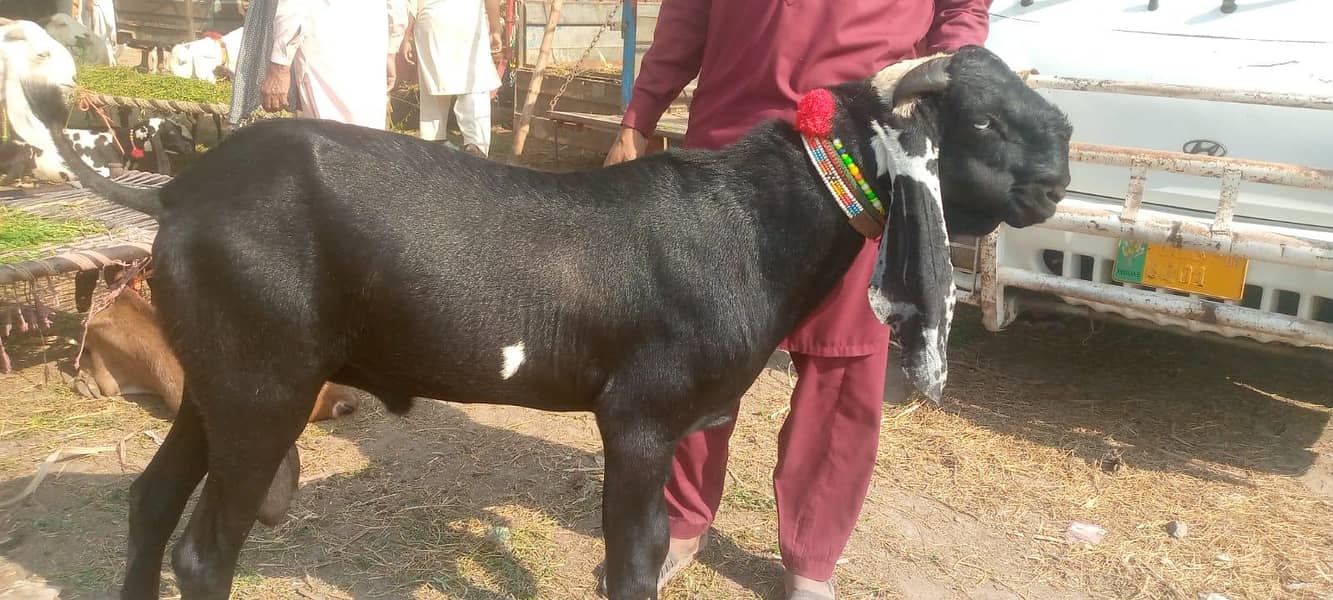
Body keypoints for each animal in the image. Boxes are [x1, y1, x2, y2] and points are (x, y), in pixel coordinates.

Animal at [25, 44, 1072, 599]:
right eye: (981, 121)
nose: (1060, 169)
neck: (747, 227)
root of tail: (176, 191)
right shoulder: (640, 420)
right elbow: (632, 563)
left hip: (215, 380)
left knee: (149, 502)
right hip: (262, 386)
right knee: (204, 552)